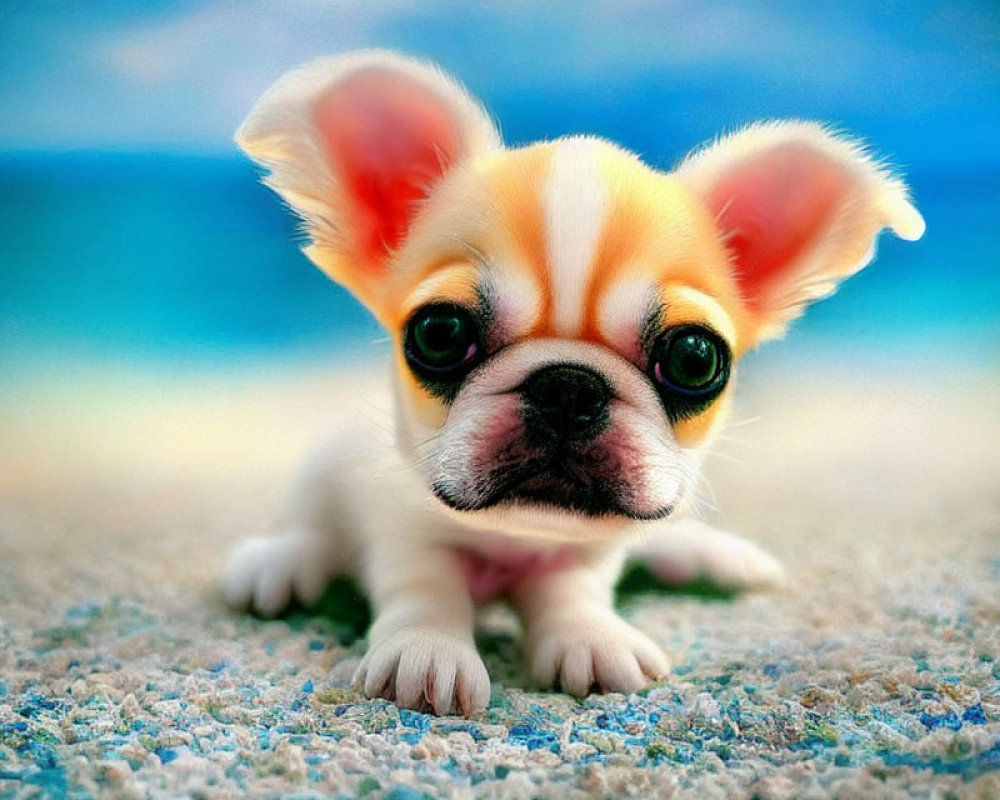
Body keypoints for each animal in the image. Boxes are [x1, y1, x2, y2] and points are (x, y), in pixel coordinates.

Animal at [223, 48, 924, 712]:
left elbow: (574, 588)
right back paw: (281, 561)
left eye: (695, 358)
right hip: (322, 472)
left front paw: (590, 635)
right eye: (439, 333)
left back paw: (708, 554)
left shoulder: (592, 550)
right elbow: (426, 581)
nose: (568, 385)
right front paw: (426, 649)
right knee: (309, 522)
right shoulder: (399, 520)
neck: (519, 534)